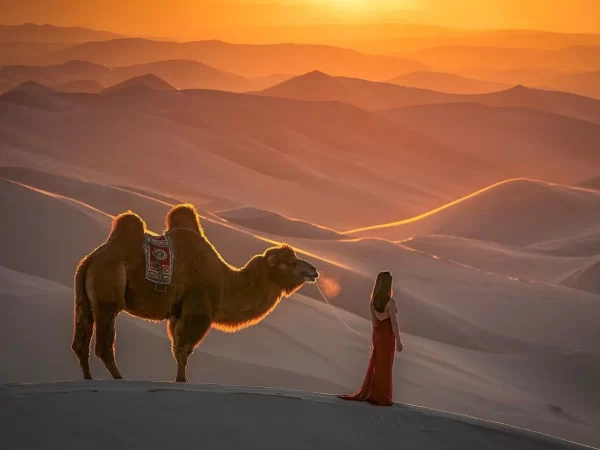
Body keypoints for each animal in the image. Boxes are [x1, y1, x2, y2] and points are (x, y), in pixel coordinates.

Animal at [71, 204, 318, 384]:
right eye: (293, 263)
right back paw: (120, 379)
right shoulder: (197, 310)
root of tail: (90, 260)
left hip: (84, 299)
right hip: (108, 294)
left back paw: (88, 378)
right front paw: (182, 381)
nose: (313, 270)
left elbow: (178, 348)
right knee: (103, 345)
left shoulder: (177, 312)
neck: (224, 282)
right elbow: (183, 349)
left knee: (80, 342)